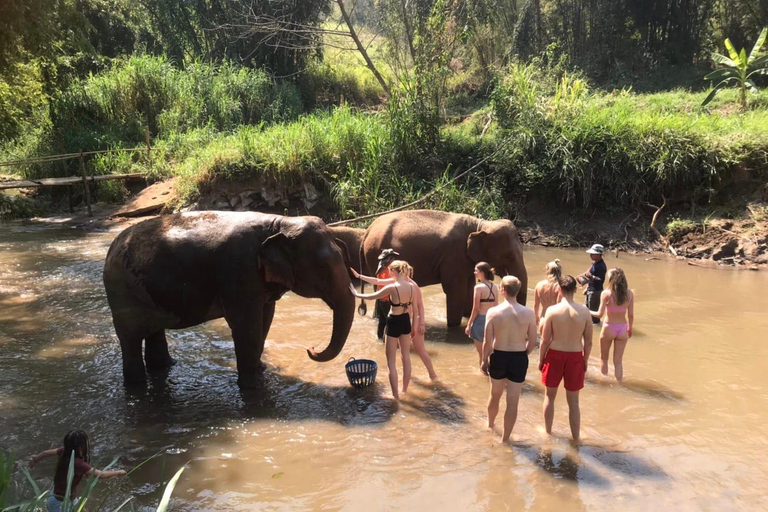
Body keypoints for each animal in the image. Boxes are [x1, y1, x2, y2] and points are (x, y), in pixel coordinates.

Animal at [103, 211, 356, 388]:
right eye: (322, 267)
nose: (310, 349)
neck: (280, 222)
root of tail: (111, 248)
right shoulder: (239, 270)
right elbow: (247, 326)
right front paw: (252, 386)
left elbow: (265, 321)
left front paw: (260, 369)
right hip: (121, 294)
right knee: (130, 339)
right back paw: (136, 386)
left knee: (154, 332)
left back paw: (165, 367)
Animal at [360, 209, 528, 326]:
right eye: (508, 255)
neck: (480, 224)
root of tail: (367, 231)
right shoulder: (453, 256)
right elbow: (456, 291)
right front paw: (453, 326)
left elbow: (469, 288)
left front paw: (467, 317)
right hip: (374, 254)